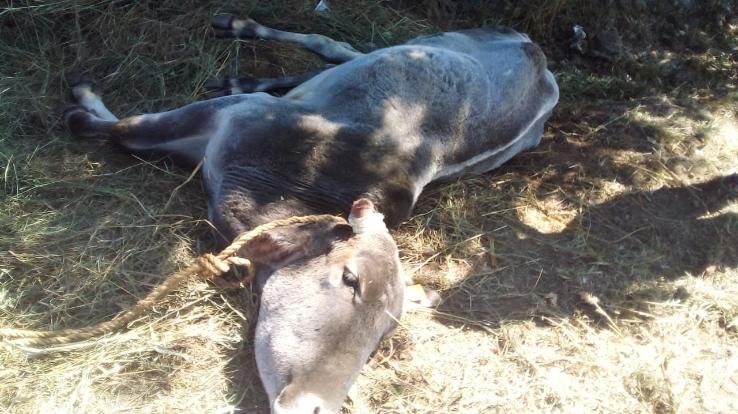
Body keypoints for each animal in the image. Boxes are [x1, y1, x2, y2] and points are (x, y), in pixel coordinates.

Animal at [64, 15, 559, 414]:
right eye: (351, 280)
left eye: (388, 327)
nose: (316, 405)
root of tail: (538, 55)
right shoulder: (237, 118)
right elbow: (113, 128)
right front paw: (85, 99)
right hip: (438, 37)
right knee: (336, 46)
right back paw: (242, 39)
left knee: (337, 54)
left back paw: (244, 71)